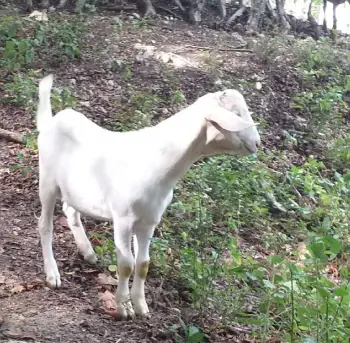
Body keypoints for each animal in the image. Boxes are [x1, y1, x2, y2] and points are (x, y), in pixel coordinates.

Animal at [36, 74, 260, 322]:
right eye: (237, 114)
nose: (257, 143)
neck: (159, 161)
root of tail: (51, 122)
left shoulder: (150, 220)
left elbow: (143, 264)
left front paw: (141, 307)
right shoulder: (123, 219)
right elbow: (126, 264)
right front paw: (123, 308)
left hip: (74, 188)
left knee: (70, 210)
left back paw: (88, 252)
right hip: (47, 181)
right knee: (45, 225)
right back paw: (53, 274)